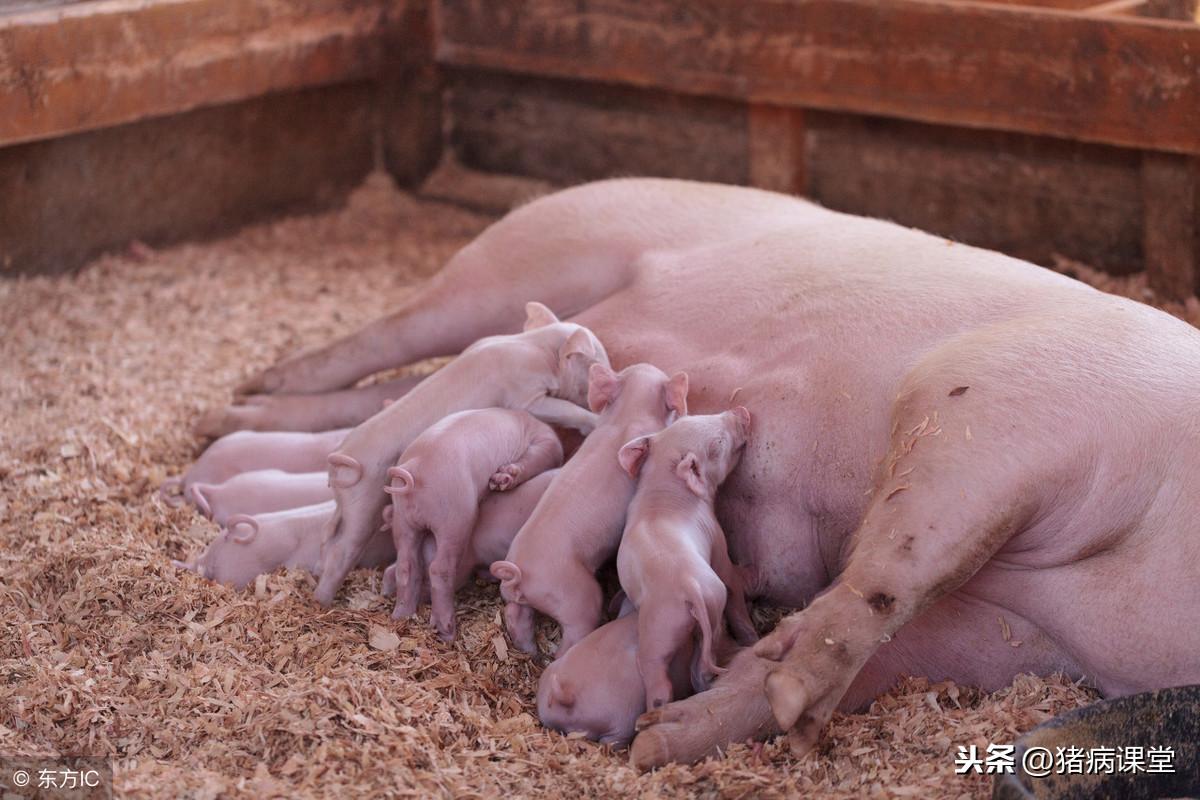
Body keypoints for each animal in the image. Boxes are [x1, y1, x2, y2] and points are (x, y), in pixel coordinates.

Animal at [204, 179, 1200, 767]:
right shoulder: (1000, 402)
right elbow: (895, 567)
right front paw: (778, 697)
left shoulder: (1012, 638)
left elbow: (880, 639)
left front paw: (678, 735)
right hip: (521, 258)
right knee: (383, 339)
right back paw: (243, 394)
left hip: (504, 343)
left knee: (397, 397)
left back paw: (237, 420)